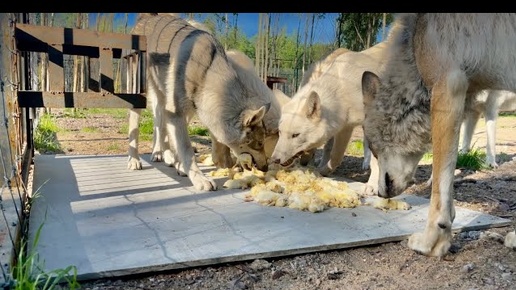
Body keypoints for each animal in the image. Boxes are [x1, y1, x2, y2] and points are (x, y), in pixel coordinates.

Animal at [126, 13, 270, 191]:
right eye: (259, 143)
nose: (266, 168)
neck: (205, 73)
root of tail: (146, 17)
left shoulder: (184, 113)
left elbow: (176, 142)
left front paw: (180, 166)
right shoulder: (177, 113)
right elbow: (187, 149)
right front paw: (199, 179)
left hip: (162, 98)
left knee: (160, 125)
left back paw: (161, 154)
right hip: (139, 94)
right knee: (135, 126)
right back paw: (134, 160)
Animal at [360, 13, 516, 256]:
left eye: (375, 151)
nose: (380, 194)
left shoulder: (448, 88)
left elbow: (439, 187)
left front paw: (432, 242)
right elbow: (447, 181)